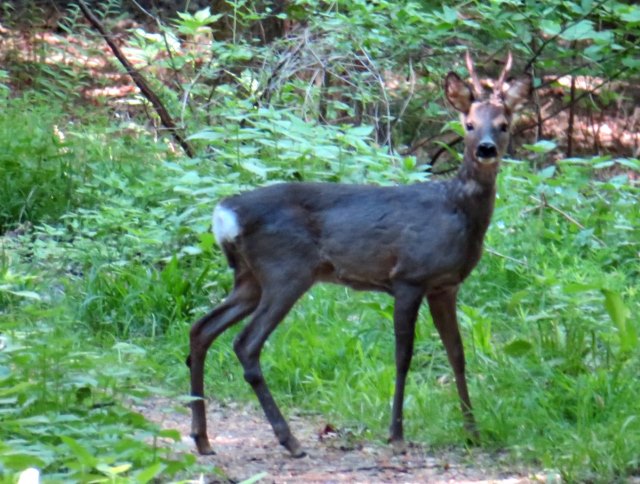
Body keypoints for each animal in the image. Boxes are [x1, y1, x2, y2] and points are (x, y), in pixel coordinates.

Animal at [188, 53, 532, 458]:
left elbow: (457, 354)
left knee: (201, 328)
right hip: (285, 271)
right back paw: (289, 440)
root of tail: (226, 213)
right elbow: (403, 355)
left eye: (504, 125)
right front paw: (396, 433)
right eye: (469, 125)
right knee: (245, 343)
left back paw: (203, 439)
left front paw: (473, 433)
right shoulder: (409, 276)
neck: (456, 211)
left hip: (250, 278)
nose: (486, 149)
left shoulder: (445, 286)